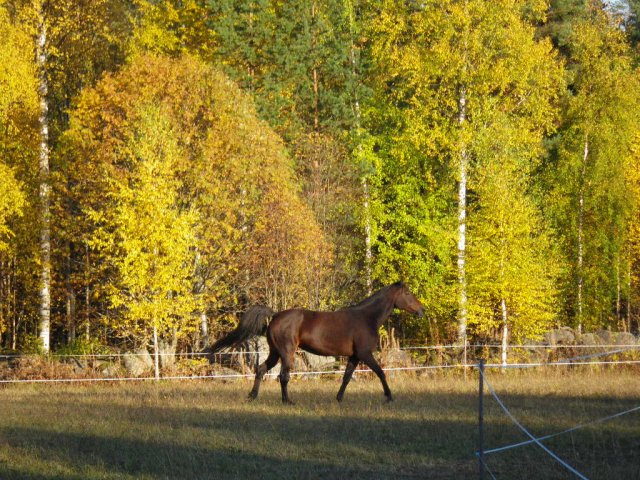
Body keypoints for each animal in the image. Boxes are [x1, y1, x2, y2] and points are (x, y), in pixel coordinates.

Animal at [206, 284, 424, 404]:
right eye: (407, 294)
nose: (422, 310)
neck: (366, 318)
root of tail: (275, 315)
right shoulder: (365, 354)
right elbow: (381, 373)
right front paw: (389, 396)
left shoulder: (354, 357)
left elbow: (346, 378)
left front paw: (338, 398)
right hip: (287, 353)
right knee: (283, 376)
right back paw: (287, 401)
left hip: (275, 353)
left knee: (260, 370)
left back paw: (252, 396)